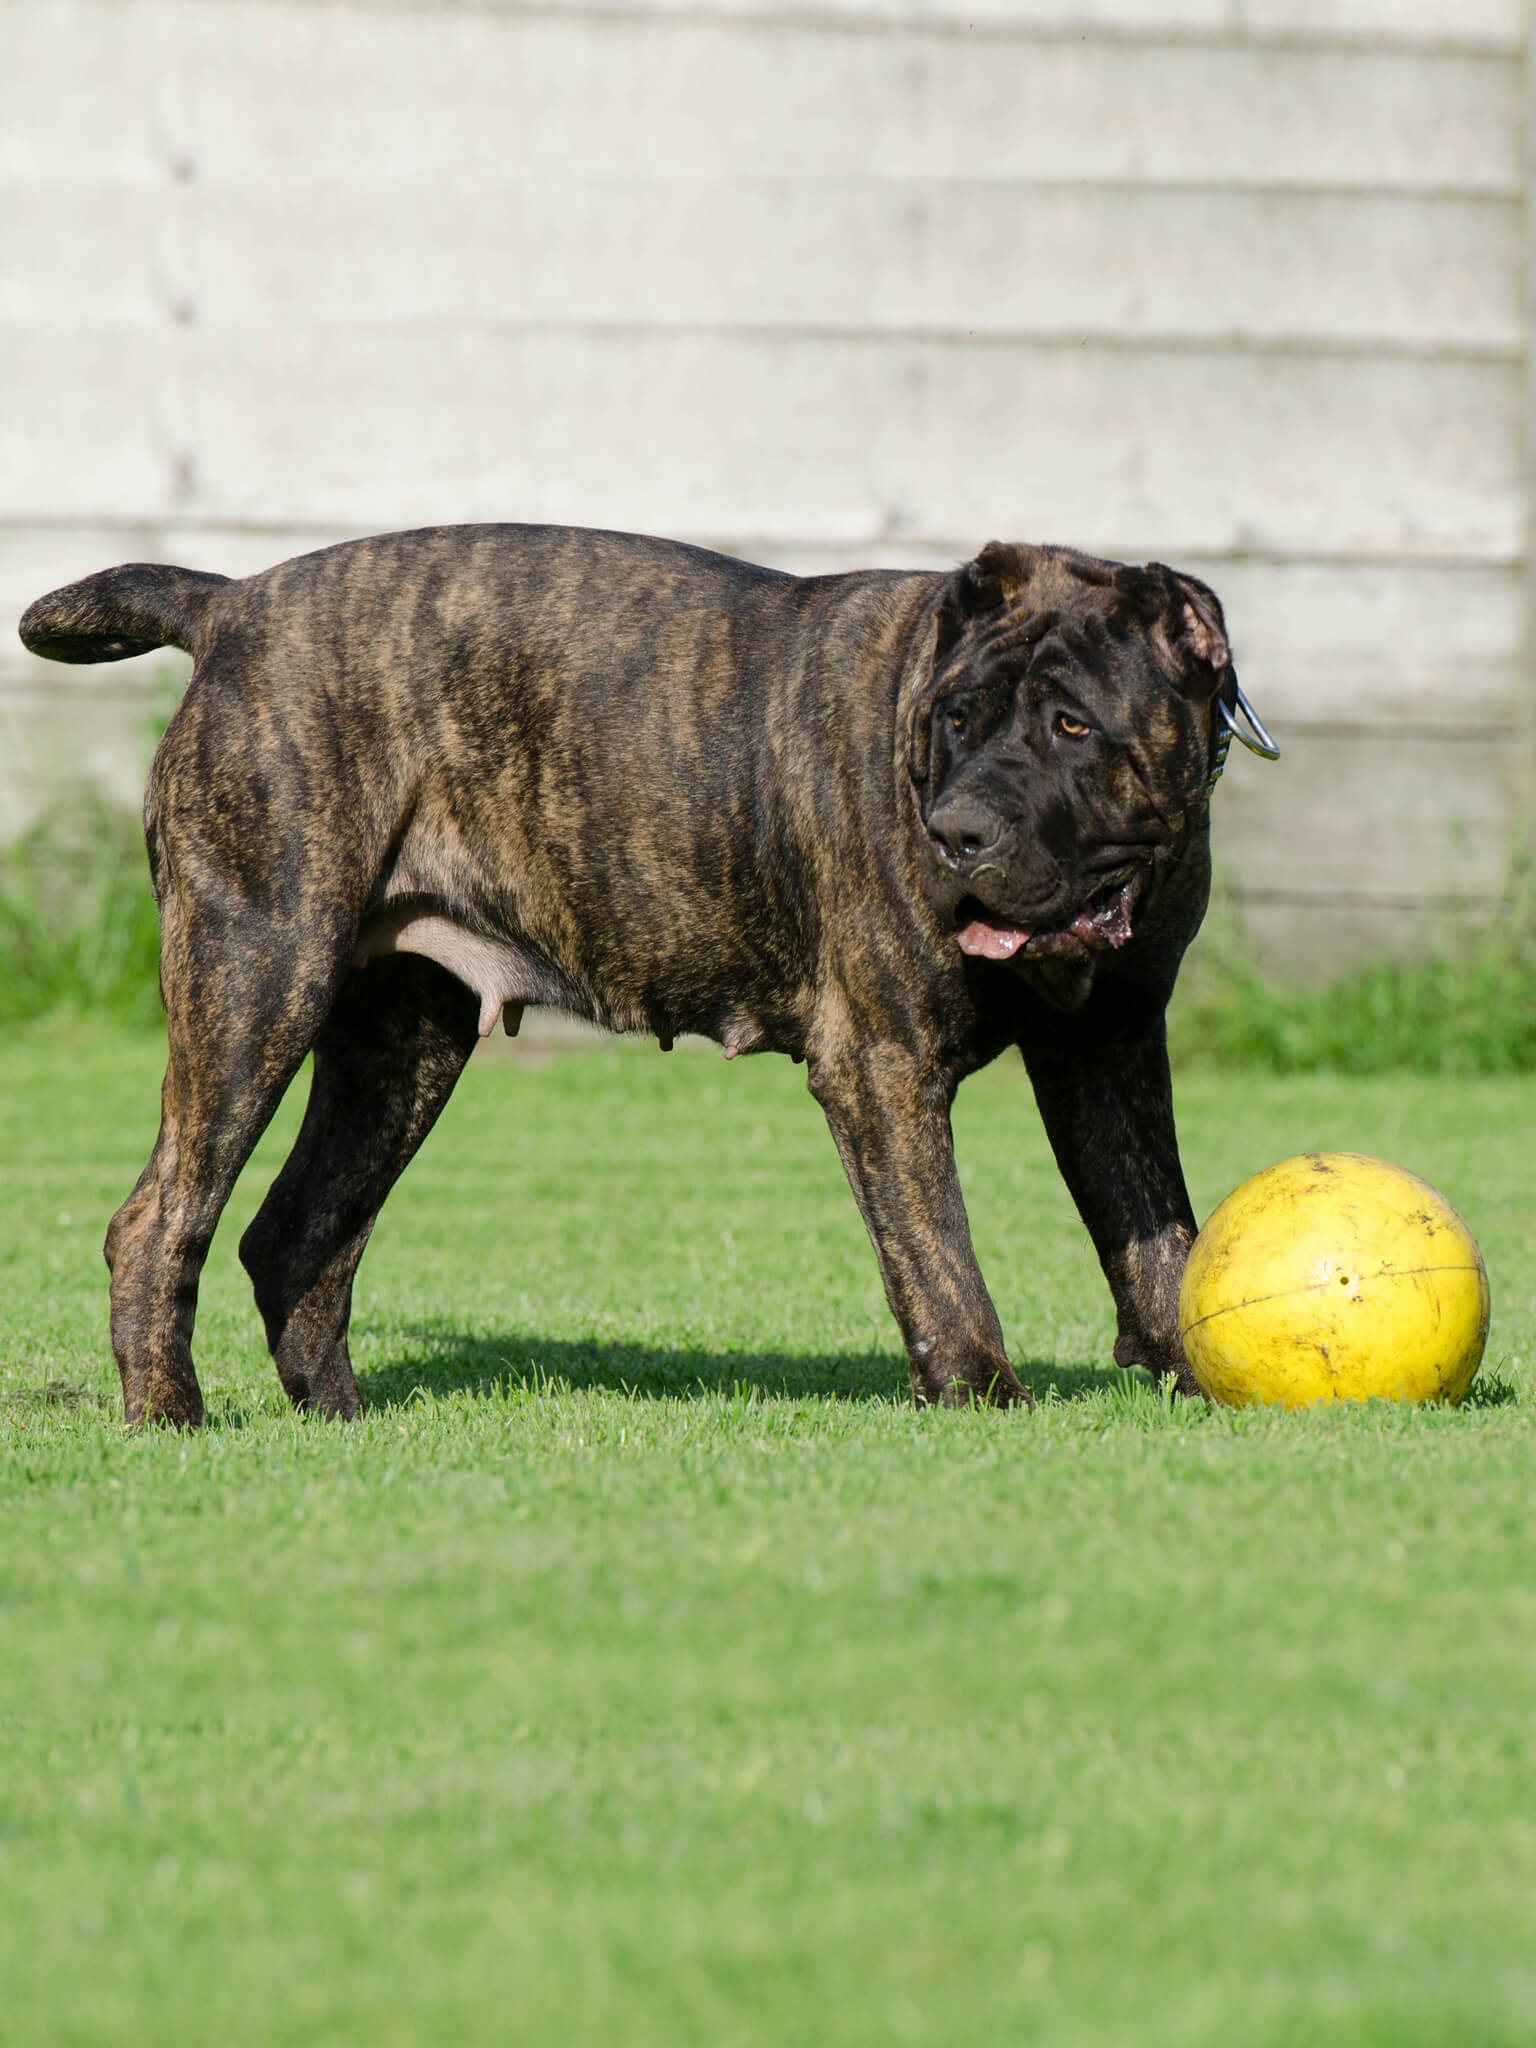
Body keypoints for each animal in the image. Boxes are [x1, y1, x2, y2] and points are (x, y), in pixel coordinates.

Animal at [20, 528, 1253, 1425]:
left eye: (1073, 724)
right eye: (955, 717)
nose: (958, 832)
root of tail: (232, 605)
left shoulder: (1111, 1048)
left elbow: (1155, 1228)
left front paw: (1196, 1375)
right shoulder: (886, 1063)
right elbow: (937, 1249)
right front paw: (983, 1395)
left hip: (397, 1046)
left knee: (298, 1231)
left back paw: (339, 1416)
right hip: (256, 979)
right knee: (161, 1216)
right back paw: (169, 1413)